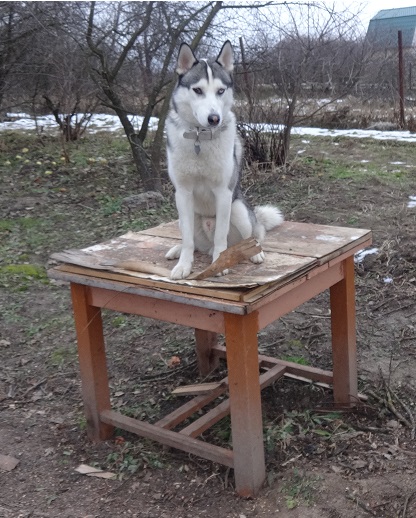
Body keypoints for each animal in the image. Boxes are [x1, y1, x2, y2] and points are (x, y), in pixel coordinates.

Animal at [165, 40, 283, 280]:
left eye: (220, 91)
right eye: (198, 90)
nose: (214, 118)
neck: (199, 138)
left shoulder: (223, 193)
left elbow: (221, 236)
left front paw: (219, 264)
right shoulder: (182, 193)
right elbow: (187, 240)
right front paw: (183, 265)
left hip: (239, 210)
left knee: (248, 238)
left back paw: (253, 253)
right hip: (185, 216)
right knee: (194, 242)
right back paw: (178, 250)